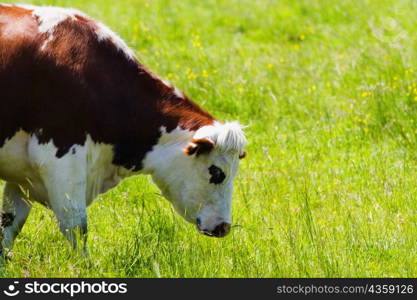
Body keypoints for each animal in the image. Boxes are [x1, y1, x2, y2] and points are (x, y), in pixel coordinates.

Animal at [0, 3, 244, 254]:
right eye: (217, 172)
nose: (224, 226)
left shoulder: (23, 175)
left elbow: (10, 223)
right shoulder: (61, 162)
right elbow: (76, 226)